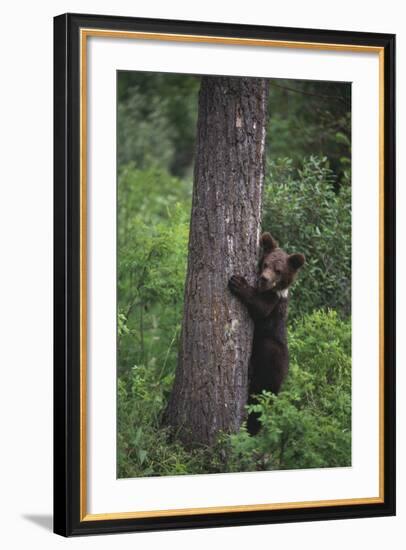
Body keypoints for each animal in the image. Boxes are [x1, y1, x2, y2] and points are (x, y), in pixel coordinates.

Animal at [228, 233, 304, 436]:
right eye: (265, 264)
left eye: (278, 270)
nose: (263, 278)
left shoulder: (273, 305)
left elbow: (259, 307)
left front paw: (238, 282)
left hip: (275, 354)